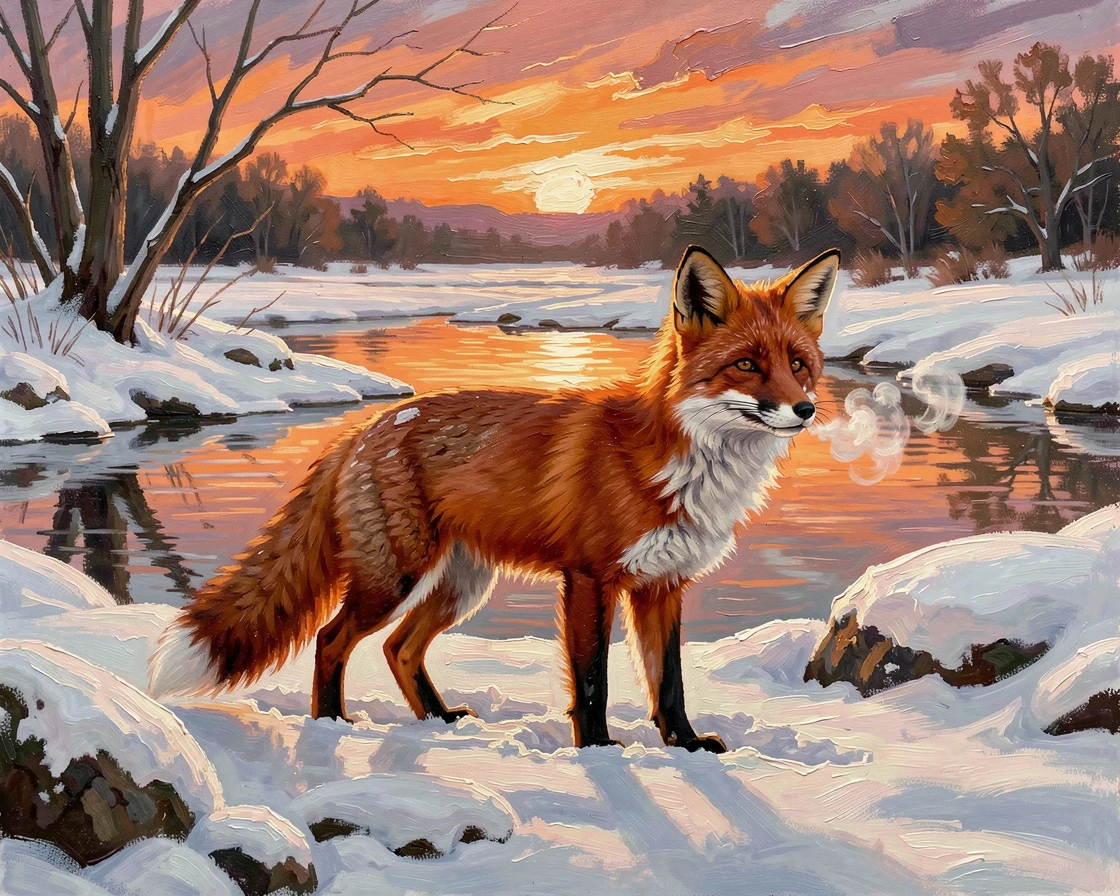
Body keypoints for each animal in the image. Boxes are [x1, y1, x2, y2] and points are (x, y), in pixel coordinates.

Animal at [149, 246, 840, 753]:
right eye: (747, 365)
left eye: (799, 364)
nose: (805, 410)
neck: (681, 463)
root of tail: (362, 429)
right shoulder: (589, 578)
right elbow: (593, 681)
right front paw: (600, 755)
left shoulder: (663, 584)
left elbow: (668, 683)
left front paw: (688, 749)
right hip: (394, 579)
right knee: (330, 638)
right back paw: (330, 728)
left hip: (460, 585)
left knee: (399, 649)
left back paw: (438, 722)